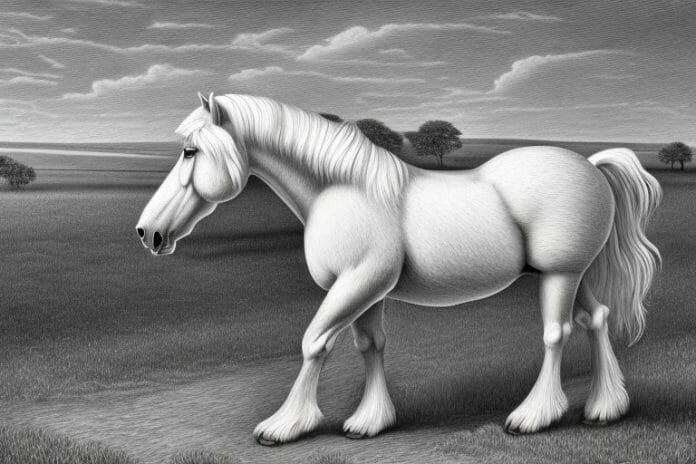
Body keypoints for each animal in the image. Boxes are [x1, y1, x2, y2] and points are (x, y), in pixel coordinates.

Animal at [136, 93, 661, 445]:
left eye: (190, 152)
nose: (148, 234)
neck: (343, 191)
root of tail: (590, 166)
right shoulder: (366, 291)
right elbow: (370, 346)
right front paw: (369, 422)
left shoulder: (357, 283)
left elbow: (314, 343)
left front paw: (284, 426)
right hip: (571, 275)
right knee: (596, 319)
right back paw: (605, 409)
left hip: (560, 274)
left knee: (557, 333)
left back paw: (532, 417)